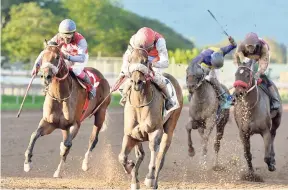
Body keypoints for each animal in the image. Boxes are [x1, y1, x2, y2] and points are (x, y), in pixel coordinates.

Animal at [23, 43, 111, 178]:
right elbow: (34, 135)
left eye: (57, 57)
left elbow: (67, 145)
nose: (46, 76)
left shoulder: (75, 124)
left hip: (100, 112)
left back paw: (84, 164)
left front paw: (58, 168)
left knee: (93, 139)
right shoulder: (49, 122)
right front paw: (27, 163)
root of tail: (102, 77)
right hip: (65, 127)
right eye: (42, 56)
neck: (60, 97)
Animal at [118, 48, 183, 189]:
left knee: (160, 157)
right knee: (140, 155)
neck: (140, 104)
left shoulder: (155, 131)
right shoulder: (130, 133)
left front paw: (149, 178)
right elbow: (123, 157)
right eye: (130, 60)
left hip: (170, 127)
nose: (136, 82)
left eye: (145, 61)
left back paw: (154, 182)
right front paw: (131, 171)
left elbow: (153, 151)